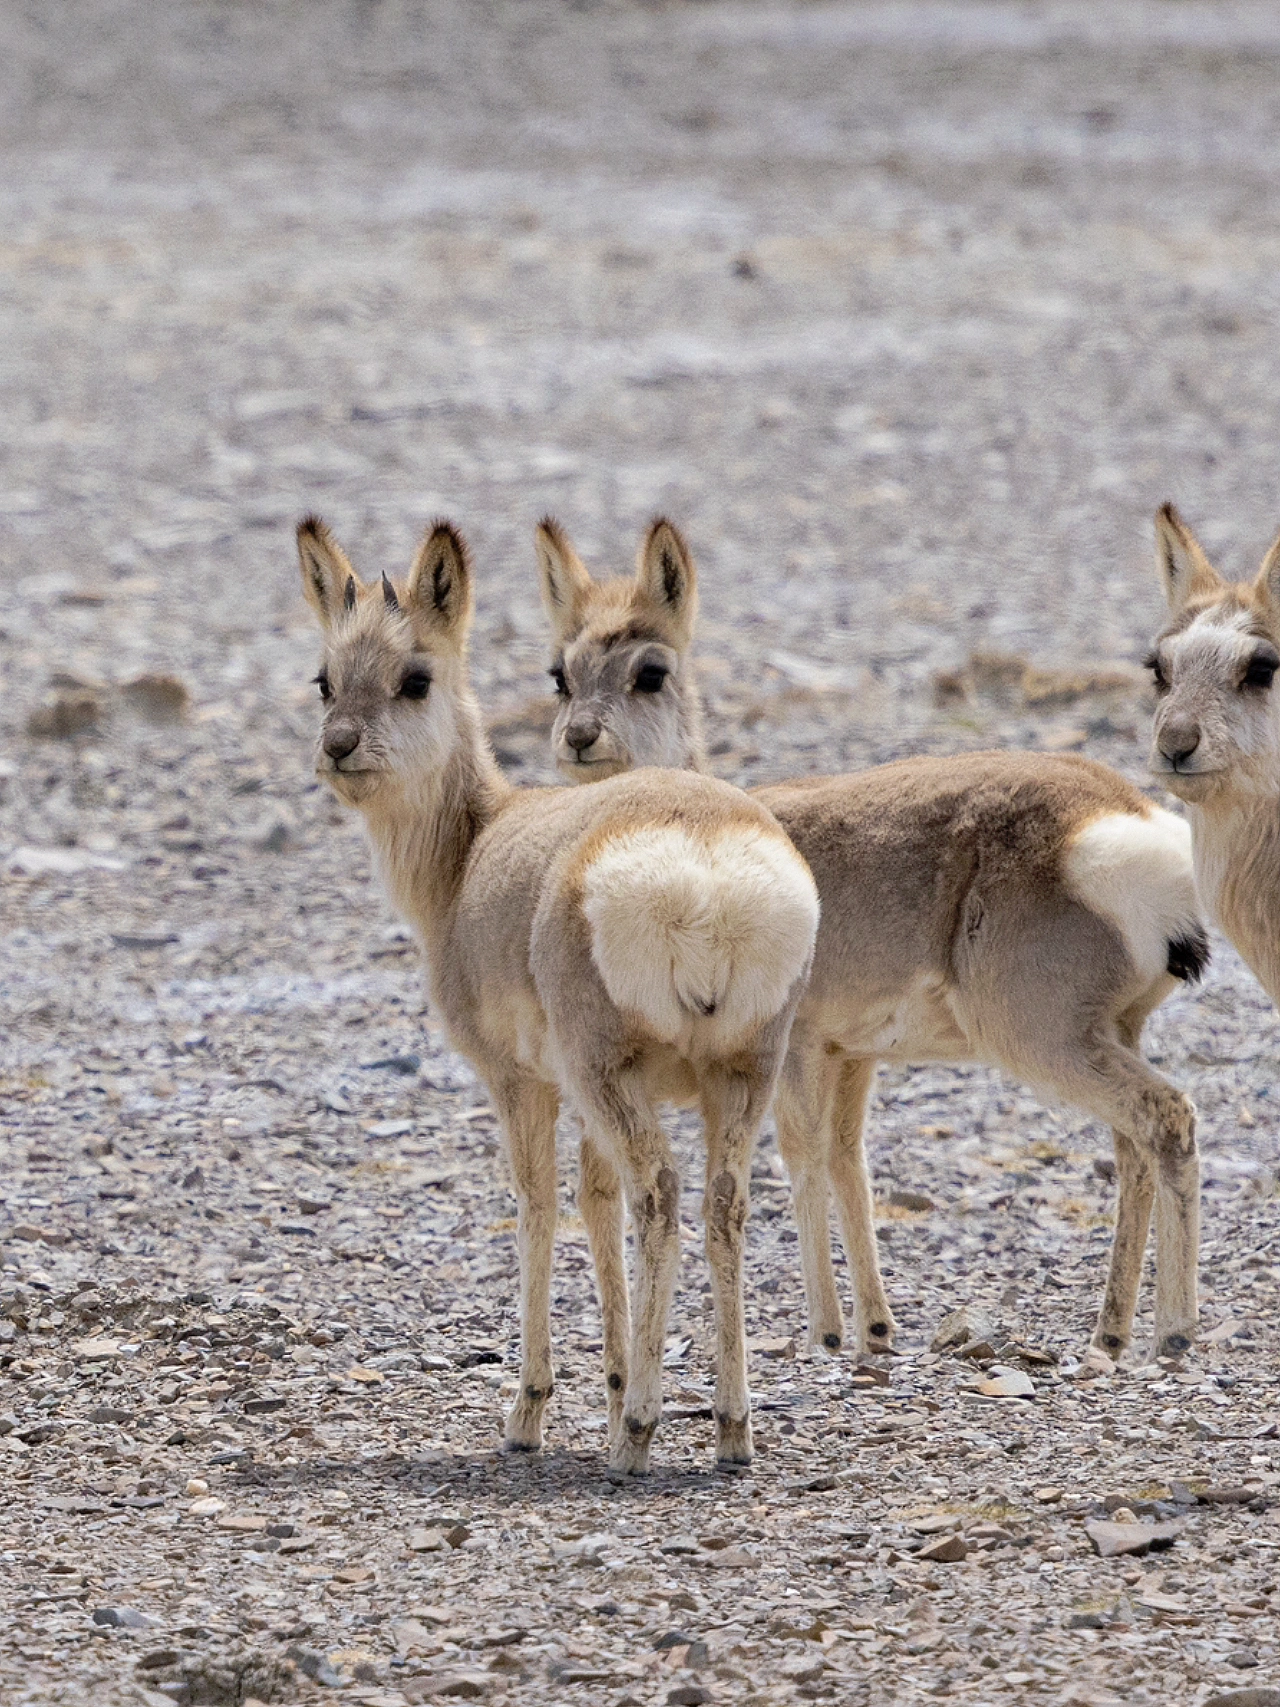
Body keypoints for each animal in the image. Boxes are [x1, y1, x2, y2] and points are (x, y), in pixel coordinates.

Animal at [300, 512, 815, 1474]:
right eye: (324, 678)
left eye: (415, 677)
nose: (337, 746)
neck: (475, 846)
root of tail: (703, 851)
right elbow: (592, 1201)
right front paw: (609, 1392)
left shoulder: (523, 1083)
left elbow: (538, 1206)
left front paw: (532, 1411)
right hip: (739, 1073)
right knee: (722, 1204)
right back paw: (730, 1428)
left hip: (614, 1075)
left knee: (662, 1195)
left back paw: (640, 1434)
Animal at [539, 512, 1215, 1365]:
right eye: (560, 672)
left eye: (650, 670)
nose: (578, 736)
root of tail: (1126, 817)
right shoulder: (852, 1053)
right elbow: (846, 1161)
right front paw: (875, 1323)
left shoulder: (794, 1048)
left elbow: (800, 1158)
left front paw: (827, 1327)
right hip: (1110, 1030)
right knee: (1132, 1145)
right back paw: (1113, 1325)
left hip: (1042, 1035)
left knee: (1168, 1118)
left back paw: (1175, 1328)